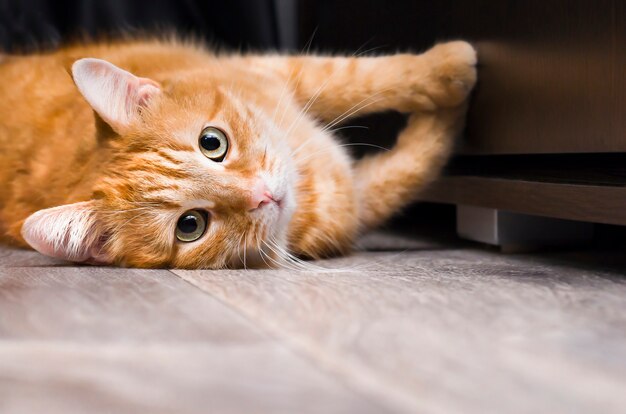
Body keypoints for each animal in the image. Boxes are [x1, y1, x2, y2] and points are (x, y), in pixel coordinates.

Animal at [0, 38, 476, 268]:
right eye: (190, 225)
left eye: (212, 142)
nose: (262, 195)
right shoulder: (356, 202)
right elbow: (413, 166)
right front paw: (452, 116)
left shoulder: (276, 69)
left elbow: (359, 77)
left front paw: (446, 67)